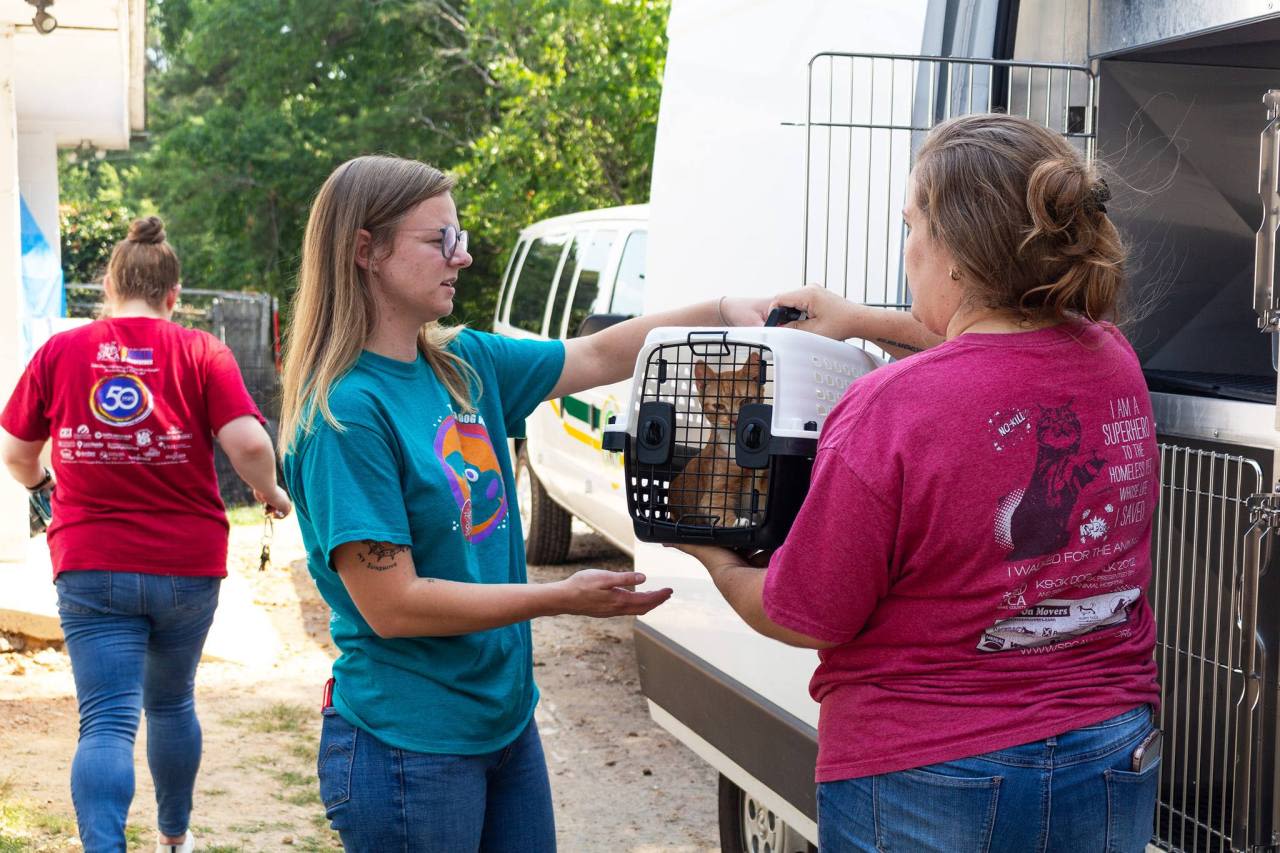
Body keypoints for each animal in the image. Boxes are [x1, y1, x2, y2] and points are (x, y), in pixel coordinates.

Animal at [665, 350, 762, 525]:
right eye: (718, 406)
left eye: (746, 401)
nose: (734, 420)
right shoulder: (712, 497)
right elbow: (720, 513)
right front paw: (739, 522)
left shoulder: (749, 488)